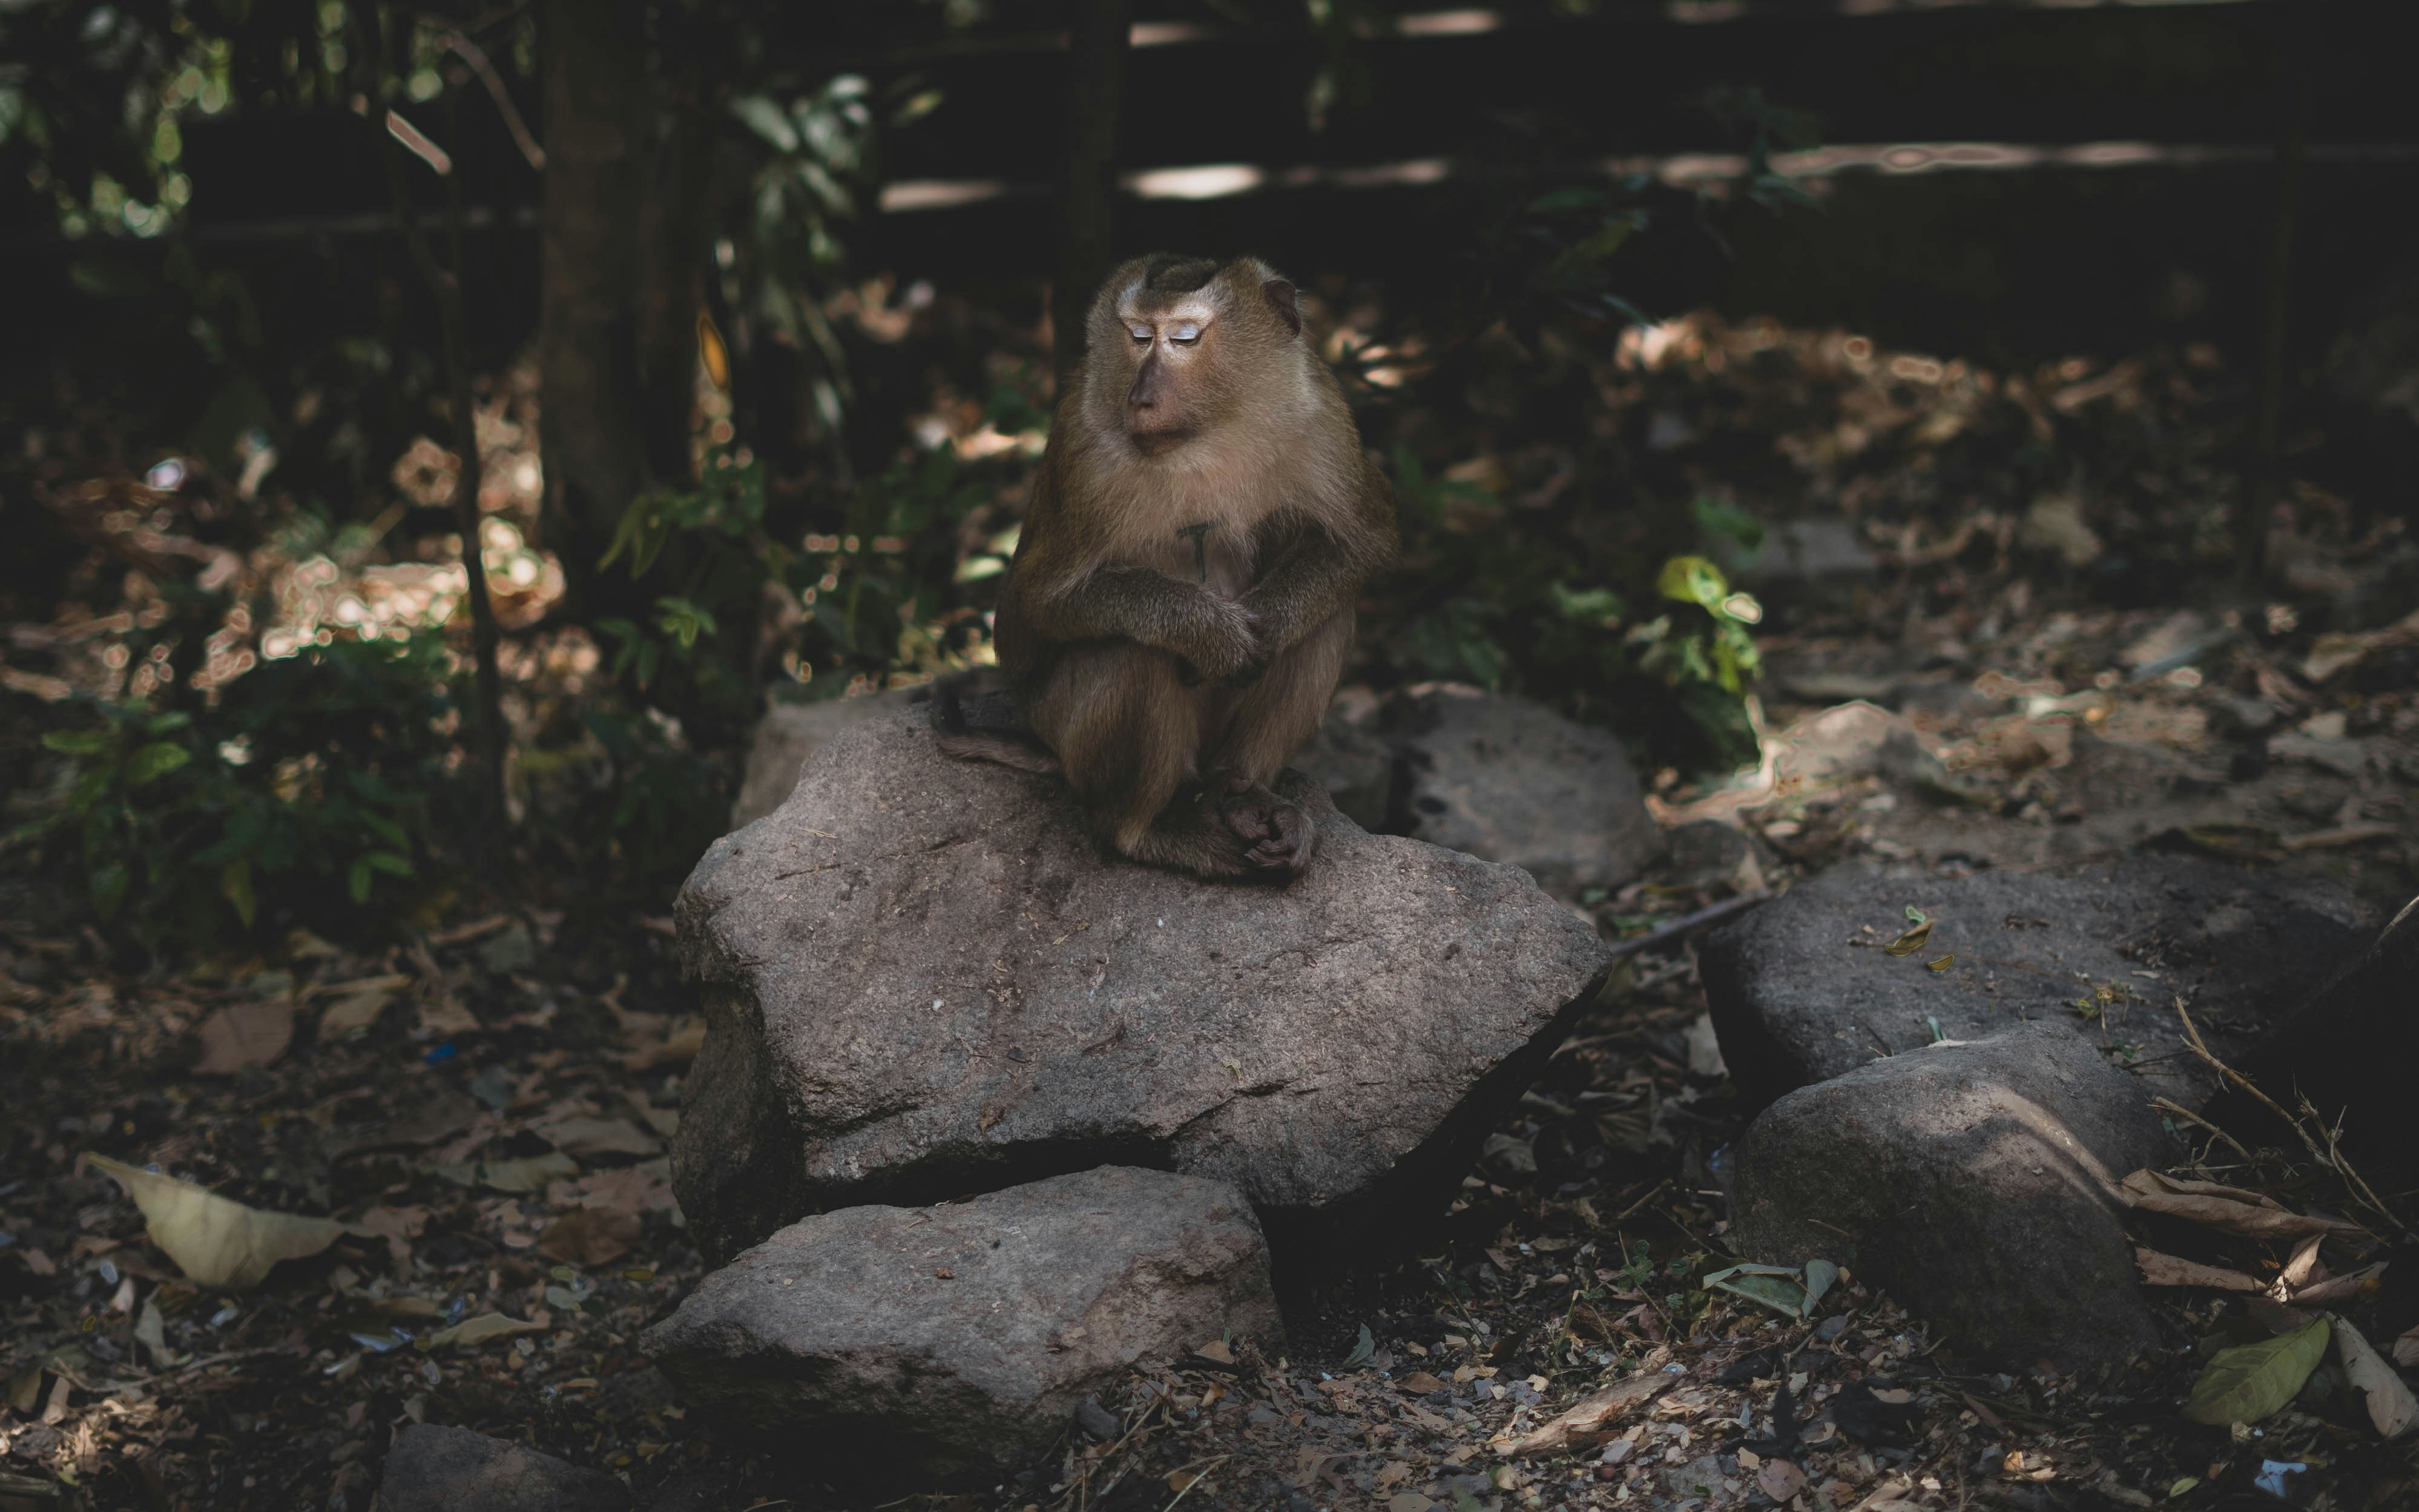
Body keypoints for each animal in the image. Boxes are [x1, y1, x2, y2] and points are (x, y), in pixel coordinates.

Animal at [933, 253, 1396, 881]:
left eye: (1183, 338)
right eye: (1137, 337)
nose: (1141, 398)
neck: (1210, 431)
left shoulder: (1322, 414)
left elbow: (1362, 542)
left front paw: (1270, 622)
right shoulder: (1083, 452)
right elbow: (1037, 604)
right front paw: (1209, 632)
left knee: (1328, 617)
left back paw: (1242, 792)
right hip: (1064, 727)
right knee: (1135, 655)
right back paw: (1144, 831)